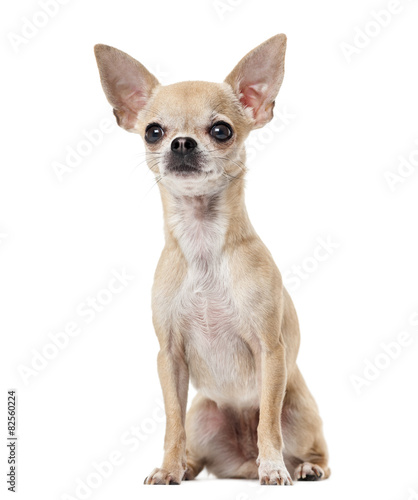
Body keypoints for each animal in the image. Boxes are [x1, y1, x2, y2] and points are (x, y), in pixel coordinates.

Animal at [94, 34, 330, 484]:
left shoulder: (270, 353)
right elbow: (171, 421)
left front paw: (274, 468)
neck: (202, 242)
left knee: (308, 445)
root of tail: (241, 463)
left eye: (221, 130)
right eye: (153, 132)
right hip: (202, 413)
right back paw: (187, 466)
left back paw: (302, 466)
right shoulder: (169, 358)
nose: (182, 142)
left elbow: (267, 421)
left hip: (299, 410)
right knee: (196, 444)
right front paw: (169, 468)